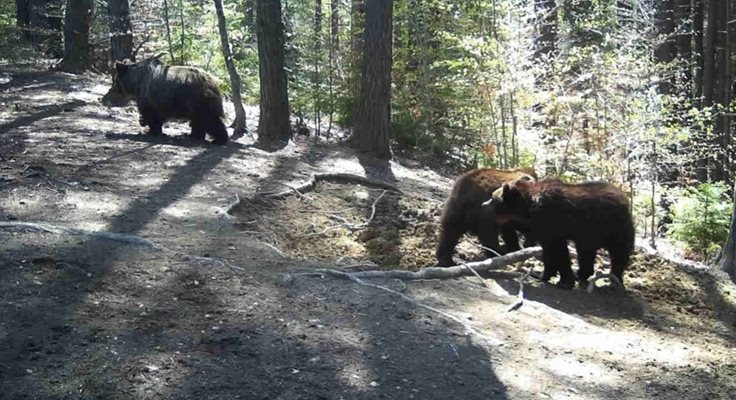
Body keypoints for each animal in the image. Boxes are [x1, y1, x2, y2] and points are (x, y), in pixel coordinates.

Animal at [486, 177, 636, 288]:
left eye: (493, 197)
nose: (484, 205)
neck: (528, 210)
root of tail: (624, 197)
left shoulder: (553, 222)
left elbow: (559, 252)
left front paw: (564, 281)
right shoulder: (543, 230)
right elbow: (548, 252)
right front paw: (544, 275)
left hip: (613, 227)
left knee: (619, 252)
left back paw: (614, 278)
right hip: (589, 234)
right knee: (587, 253)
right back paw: (582, 273)